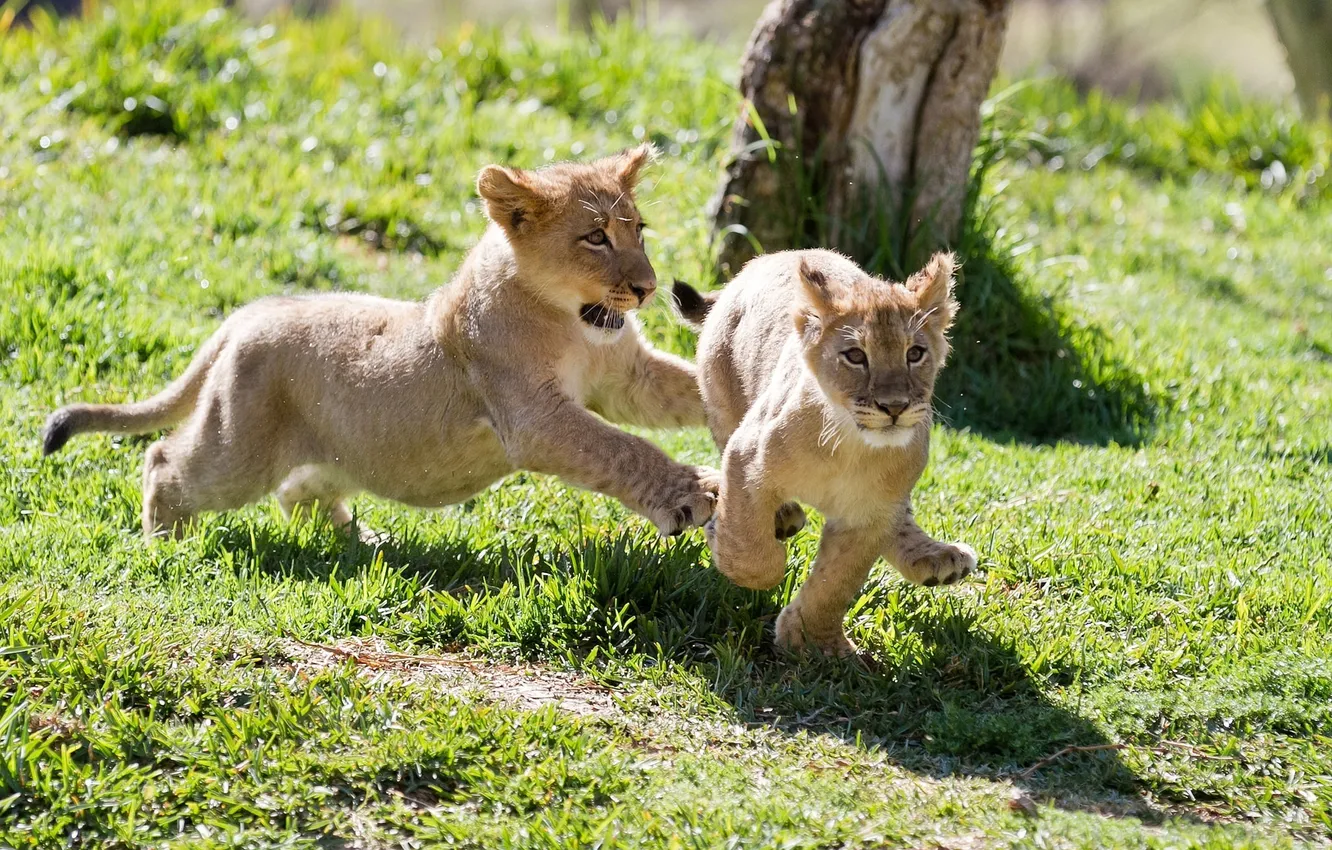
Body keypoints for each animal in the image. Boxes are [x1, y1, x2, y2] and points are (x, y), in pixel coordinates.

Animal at [43, 145, 720, 541]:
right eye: (595, 237)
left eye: (639, 230)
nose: (648, 288)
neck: (574, 324)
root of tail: (249, 313)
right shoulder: (533, 418)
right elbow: (620, 448)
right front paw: (695, 495)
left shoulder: (628, 379)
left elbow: (683, 390)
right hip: (237, 448)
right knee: (167, 462)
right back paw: (166, 542)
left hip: (326, 452)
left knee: (298, 491)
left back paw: (360, 543)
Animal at [672, 250, 975, 656]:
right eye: (855, 356)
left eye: (915, 353)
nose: (893, 406)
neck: (850, 447)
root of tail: (765, 259)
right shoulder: (745, 455)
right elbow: (754, 554)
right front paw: (727, 541)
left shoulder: (867, 517)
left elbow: (837, 583)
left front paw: (815, 643)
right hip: (722, 404)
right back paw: (781, 517)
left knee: (901, 517)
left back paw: (937, 558)